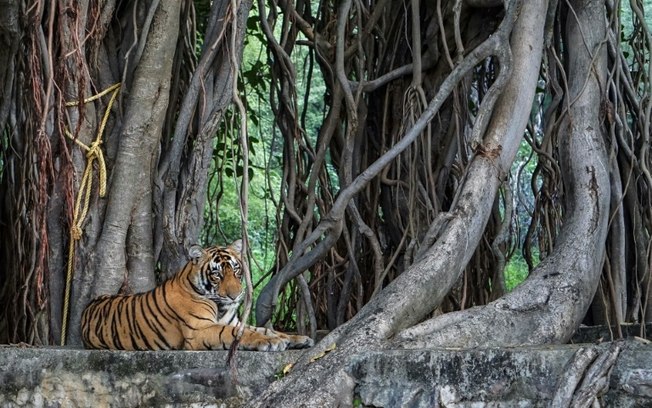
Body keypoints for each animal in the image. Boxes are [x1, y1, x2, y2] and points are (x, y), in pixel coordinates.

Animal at [80, 241, 314, 352]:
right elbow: (236, 334)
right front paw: (271, 342)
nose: (236, 296)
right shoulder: (199, 330)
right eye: (217, 274)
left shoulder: (234, 321)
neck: (220, 306)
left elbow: (265, 328)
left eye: (236, 270)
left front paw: (297, 338)